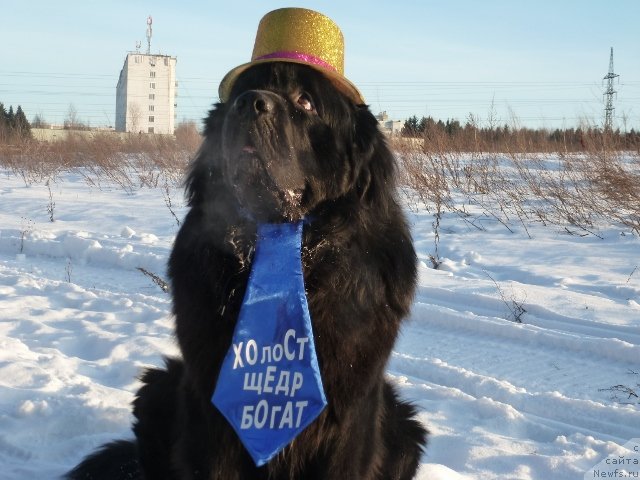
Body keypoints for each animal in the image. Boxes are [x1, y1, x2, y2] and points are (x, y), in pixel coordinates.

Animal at [66, 62, 424, 478]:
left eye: (306, 101)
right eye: (245, 89)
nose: (249, 104)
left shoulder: (351, 415)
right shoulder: (212, 413)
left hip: (404, 423)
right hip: (158, 390)